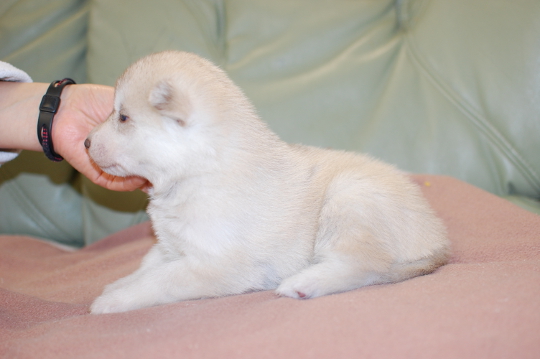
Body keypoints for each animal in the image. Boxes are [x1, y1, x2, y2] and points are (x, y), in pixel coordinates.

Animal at [87, 50, 452, 316]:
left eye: (123, 117)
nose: (86, 142)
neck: (199, 171)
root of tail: (439, 242)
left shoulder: (219, 264)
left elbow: (162, 279)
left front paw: (113, 300)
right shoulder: (170, 246)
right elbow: (147, 266)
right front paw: (117, 285)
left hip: (349, 201)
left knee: (366, 266)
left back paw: (305, 282)